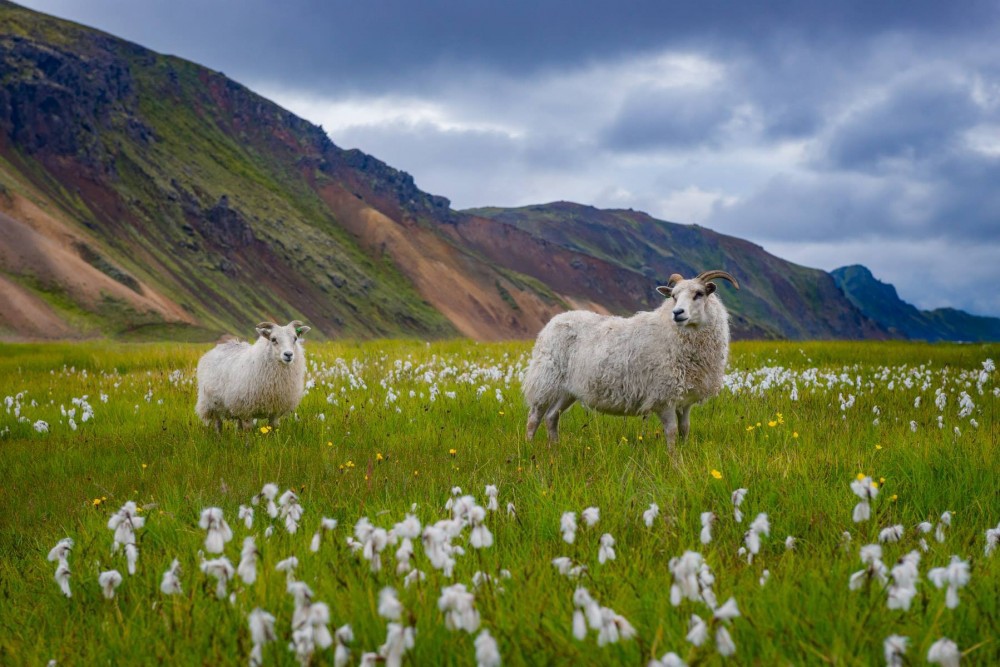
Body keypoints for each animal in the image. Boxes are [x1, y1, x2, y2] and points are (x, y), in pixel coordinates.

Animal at [520, 270, 740, 448]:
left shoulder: (685, 399)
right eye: (674, 296)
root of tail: (554, 320)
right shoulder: (664, 396)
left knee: (552, 416)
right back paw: (530, 447)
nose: (678, 313)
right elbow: (671, 433)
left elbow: (685, 428)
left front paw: (684, 453)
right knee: (534, 417)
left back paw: (555, 448)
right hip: (546, 380)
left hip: (568, 390)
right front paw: (674, 462)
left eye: (699, 294)